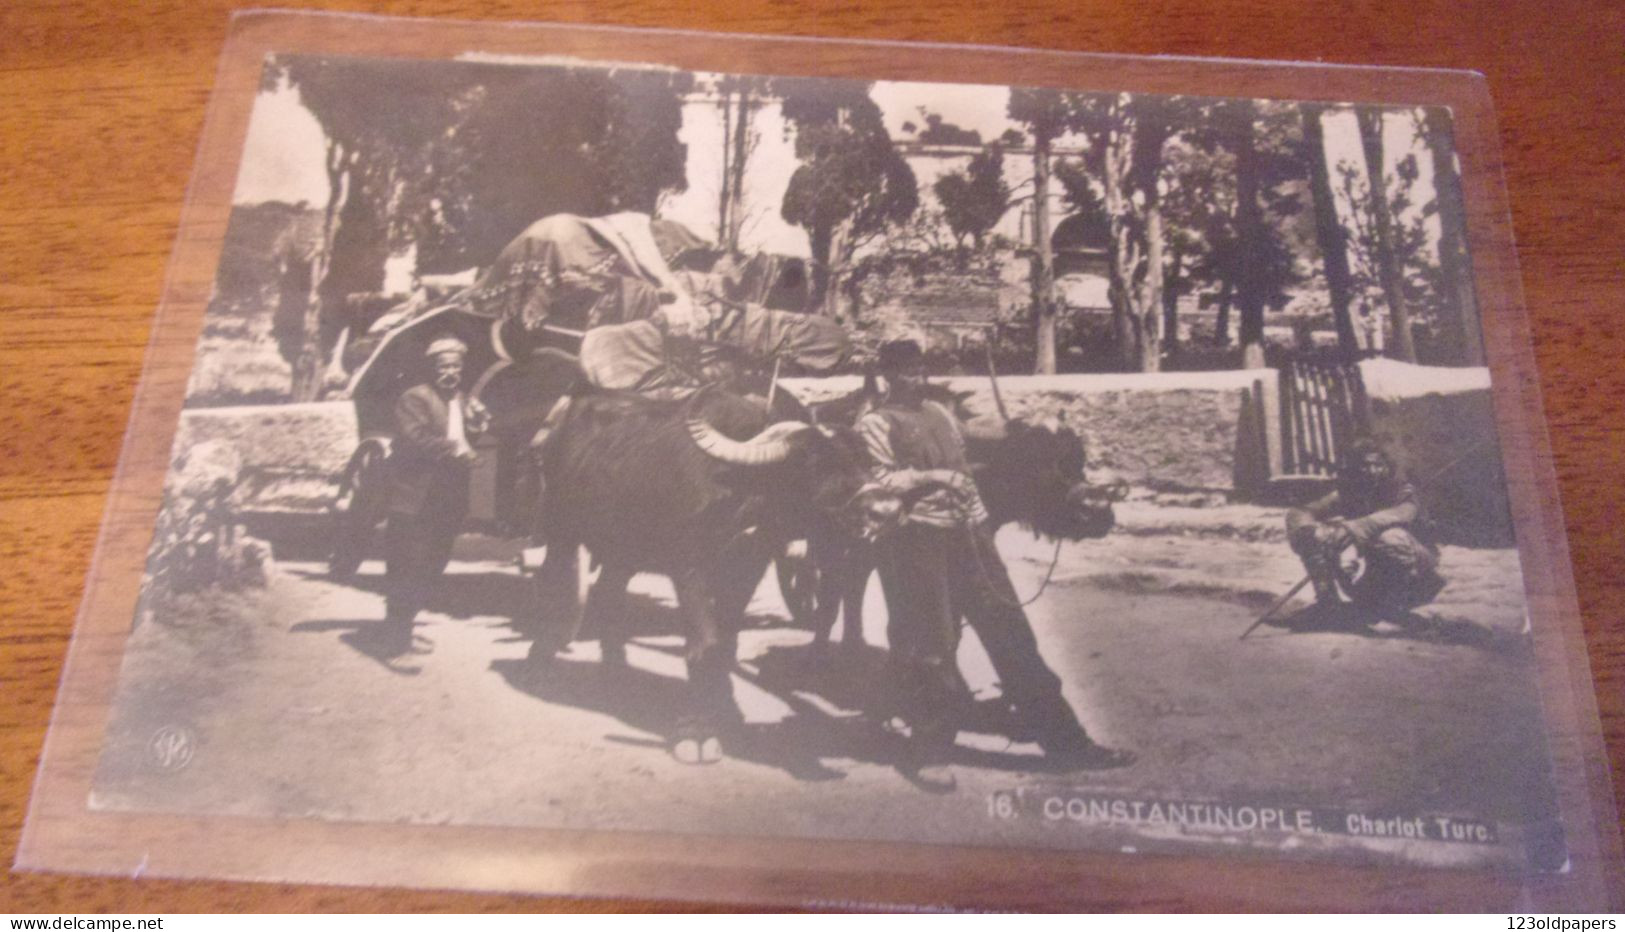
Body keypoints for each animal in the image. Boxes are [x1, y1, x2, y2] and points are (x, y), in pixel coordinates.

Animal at [526, 391, 897, 763]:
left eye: (865, 458)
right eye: (813, 463)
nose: (886, 510)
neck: (739, 493)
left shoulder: (749, 570)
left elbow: (727, 644)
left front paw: (726, 713)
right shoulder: (689, 570)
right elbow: (704, 643)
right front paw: (697, 732)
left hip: (623, 553)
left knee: (608, 598)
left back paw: (617, 675)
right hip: (561, 530)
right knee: (553, 584)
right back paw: (538, 663)